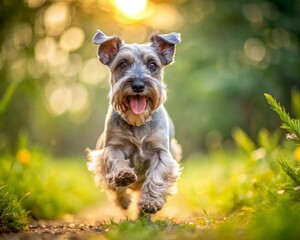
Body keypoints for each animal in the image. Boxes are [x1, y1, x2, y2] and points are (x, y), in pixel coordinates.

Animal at [85, 29, 182, 218]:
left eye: (152, 65)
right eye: (122, 64)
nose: (138, 85)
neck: (138, 122)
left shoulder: (161, 152)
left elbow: (157, 176)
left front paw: (150, 202)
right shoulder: (112, 147)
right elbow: (115, 161)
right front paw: (123, 175)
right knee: (115, 189)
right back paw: (123, 199)